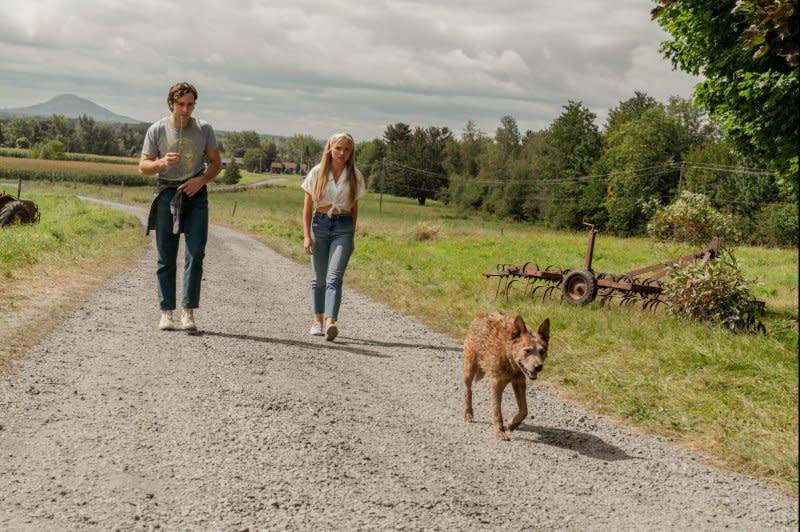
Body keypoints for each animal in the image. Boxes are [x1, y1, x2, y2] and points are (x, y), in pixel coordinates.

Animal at [462, 312, 552, 440]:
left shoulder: (519, 382)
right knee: (468, 391)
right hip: (469, 370)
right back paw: (468, 413)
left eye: (542, 351)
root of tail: (481, 315)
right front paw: (500, 431)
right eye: (527, 351)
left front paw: (512, 424)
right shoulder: (496, 384)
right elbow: (497, 411)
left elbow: (524, 410)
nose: (538, 367)